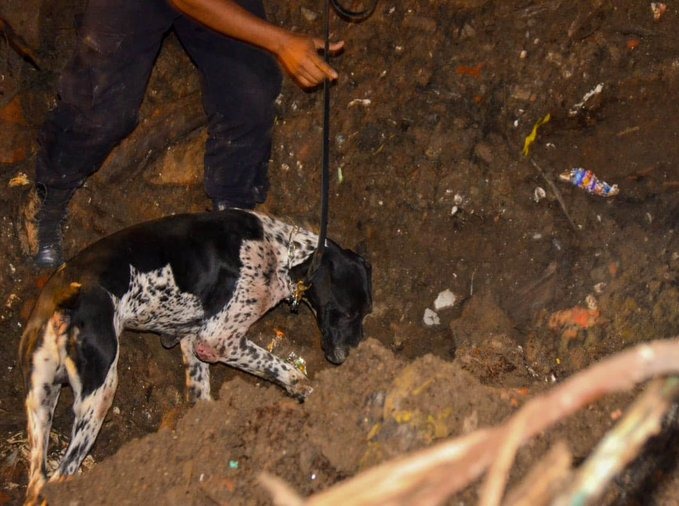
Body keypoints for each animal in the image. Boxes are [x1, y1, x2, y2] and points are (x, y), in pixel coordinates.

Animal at [19, 209, 372, 502]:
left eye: (366, 313)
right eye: (347, 314)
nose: (354, 357)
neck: (280, 252)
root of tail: (67, 297)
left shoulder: (193, 342)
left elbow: (201, 397)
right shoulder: (218, 340)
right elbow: (281, 367)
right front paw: (308, 391)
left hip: (41, 400)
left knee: (37, 481)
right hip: (99, 391)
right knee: (62, 473)